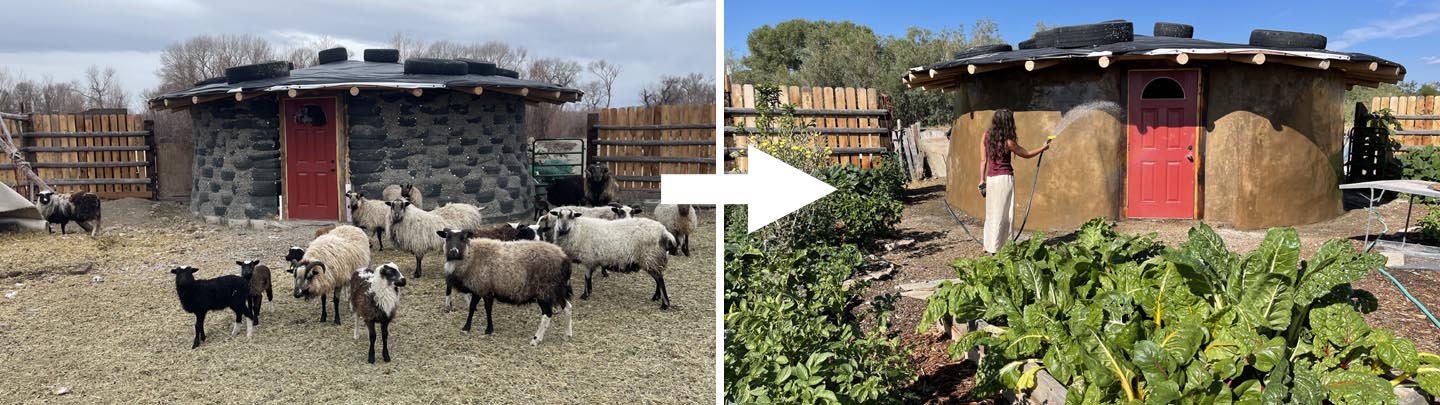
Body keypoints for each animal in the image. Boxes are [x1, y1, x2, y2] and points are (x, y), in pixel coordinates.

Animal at [437, 227, 573, 343]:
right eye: (447, 237)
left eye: (463, 238)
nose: (453, 251)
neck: (471, 255)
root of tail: (565, 259)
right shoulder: (481, 289)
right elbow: (475, 308)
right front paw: (471, 328)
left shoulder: (483, 288)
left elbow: (483, 309)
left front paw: (484, 329)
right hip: (557, 289)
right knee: (568, 307)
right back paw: (567, 335)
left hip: (544, 290)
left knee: (547, 314)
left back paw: (536, 339)